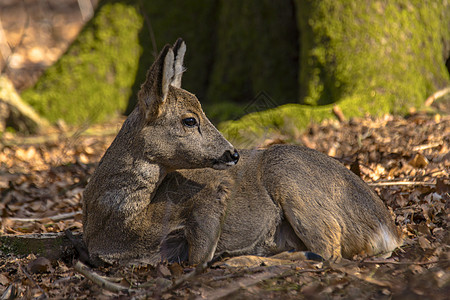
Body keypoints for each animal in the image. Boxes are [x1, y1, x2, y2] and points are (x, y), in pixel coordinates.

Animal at [82, 38, 402, 266]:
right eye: (190, 120)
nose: (233, 154)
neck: (118, 226)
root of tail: (388, 230)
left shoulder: (211, 196)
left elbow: (198, 257)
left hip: (291, 177)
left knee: (328, 252)